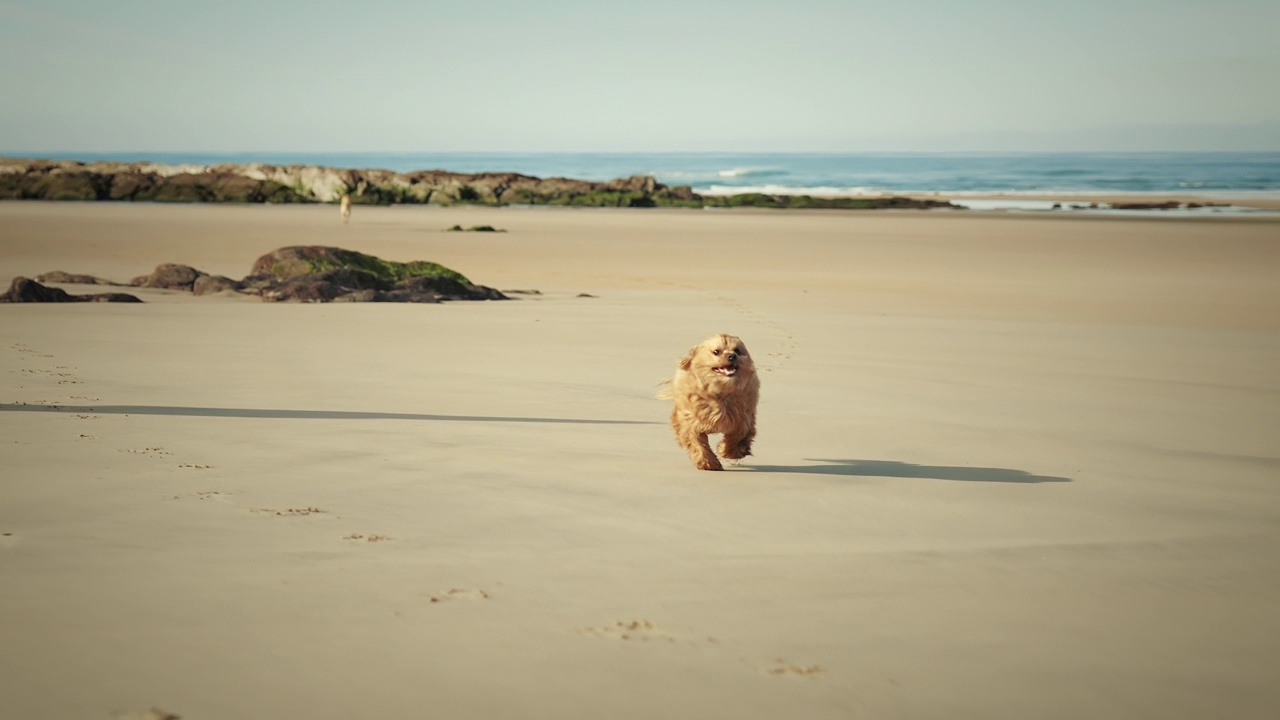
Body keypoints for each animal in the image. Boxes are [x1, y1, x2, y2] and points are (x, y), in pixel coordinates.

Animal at [665, 333, 752, 468]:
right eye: (716, 352)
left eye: (737, 351)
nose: (732, 356)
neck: (720, 391)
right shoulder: (692, 421)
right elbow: (697, 442)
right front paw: (708, 462)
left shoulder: (742, 417)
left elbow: (738, 436)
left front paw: (727, 451)